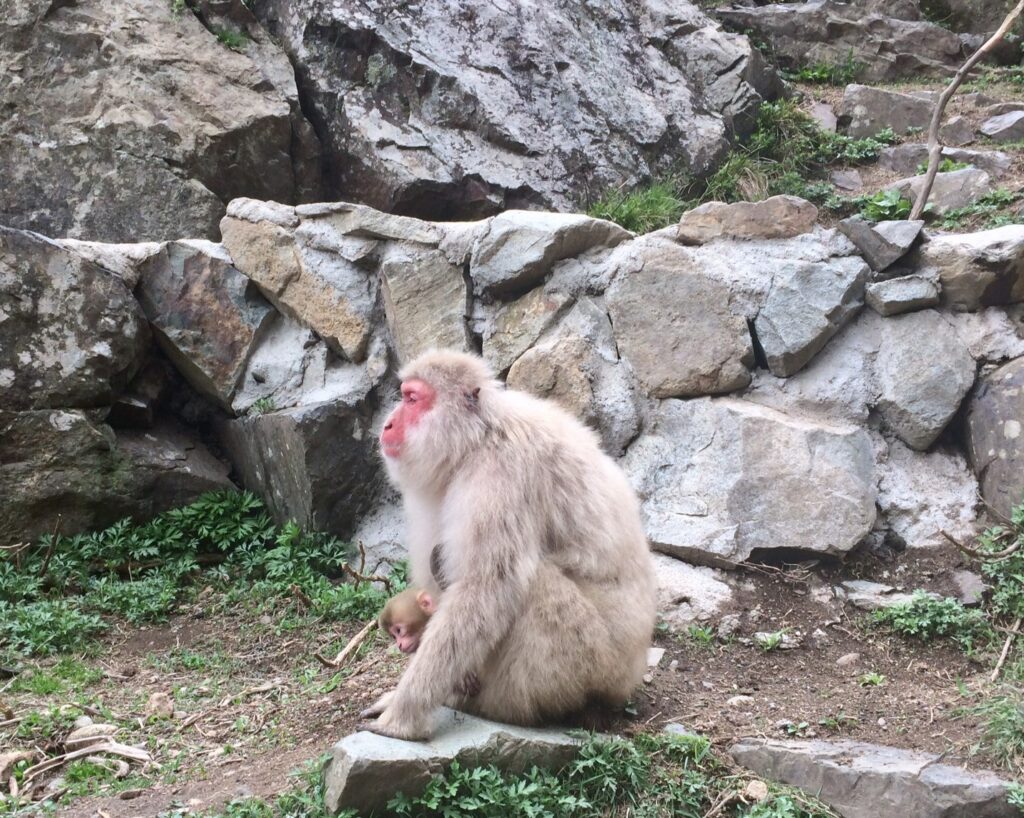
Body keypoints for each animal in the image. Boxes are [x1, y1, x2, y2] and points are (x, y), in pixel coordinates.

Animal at [360, 349, 657, 740]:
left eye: (412, 399)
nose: (388, 424)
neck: (477, 438)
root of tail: (631, 674)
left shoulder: (501, 475)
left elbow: (484, 588)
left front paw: (403, 715)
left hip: (599, 665)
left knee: (534, 583)